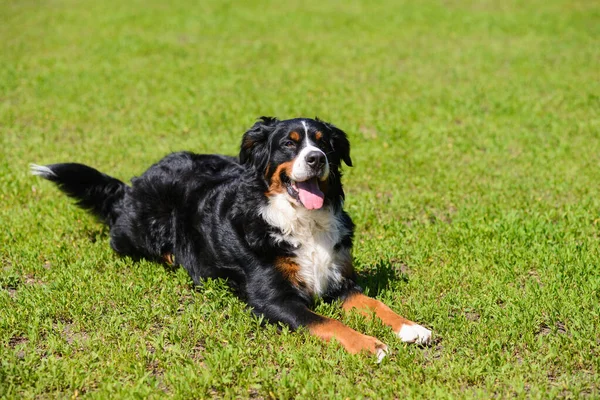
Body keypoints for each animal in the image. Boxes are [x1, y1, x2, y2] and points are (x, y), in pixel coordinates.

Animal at [31, 117, 432, 360]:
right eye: (289, 145)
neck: (302, 222)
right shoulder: (273, 298)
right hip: (141, 233)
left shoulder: (339, 280)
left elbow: (375, 304)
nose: (317, 159)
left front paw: (411, 328)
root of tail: (131, 186)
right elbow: (327, 323)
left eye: (325, 144)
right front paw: (370, 345)